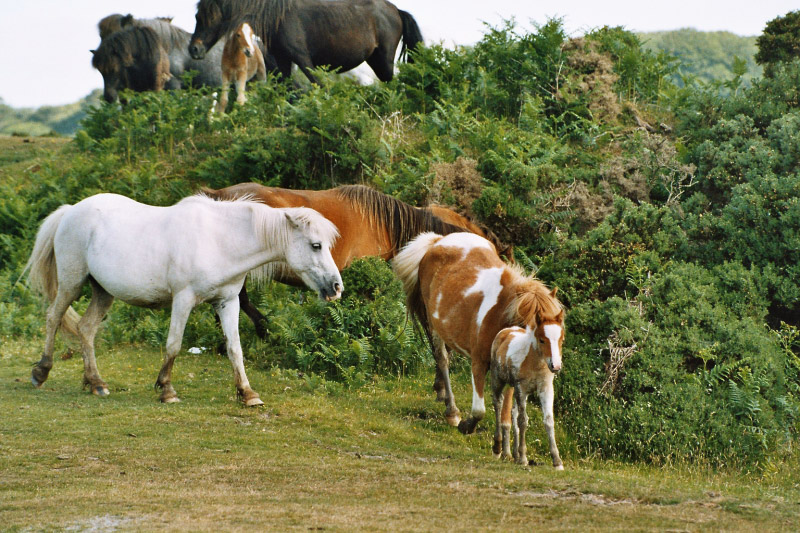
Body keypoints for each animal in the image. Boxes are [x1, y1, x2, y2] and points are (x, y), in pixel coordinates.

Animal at [24, 193, 344, 406]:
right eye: (315, 245)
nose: (336, 287)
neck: (220, 240)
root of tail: (69, 211)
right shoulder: (183, 299)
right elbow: (174, 345)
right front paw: (167, 390)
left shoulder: (228, 302)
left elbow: (235, 348)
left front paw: (247, 393)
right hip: (72, 283)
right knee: (53, 318)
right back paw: (41, 372)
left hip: (103, 291)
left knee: (86, 329)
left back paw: (95, 383)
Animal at [188, 0, 424, 83]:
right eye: (196, 16)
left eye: (208, 17)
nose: (194, 49)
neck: (278, 18)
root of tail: (396, 10)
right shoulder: (283, 61)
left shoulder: (304, 60)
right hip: (375, 61)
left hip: (384, 60)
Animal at [392, 231, 564, 446]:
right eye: (540, 337)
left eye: (561, 336)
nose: (554, 366)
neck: (500, 317)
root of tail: (438, 241)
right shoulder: (479, 363)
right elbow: (479, 410)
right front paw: (466, 426)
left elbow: (506, 416)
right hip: (434, 325)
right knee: (442, 359)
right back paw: (451, 411)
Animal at [490, 324, 564, 470]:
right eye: (542, 340)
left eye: (561, 339)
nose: (556, 366)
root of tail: (505, 331)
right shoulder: (521, 388)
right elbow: (523, 420)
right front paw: (523, 458)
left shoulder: (545, 388)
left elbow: (548, 420)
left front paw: (557, 461)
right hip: (498, 380)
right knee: (498, 403)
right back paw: (498, 448)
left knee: (513, 412)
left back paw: (515, 454)